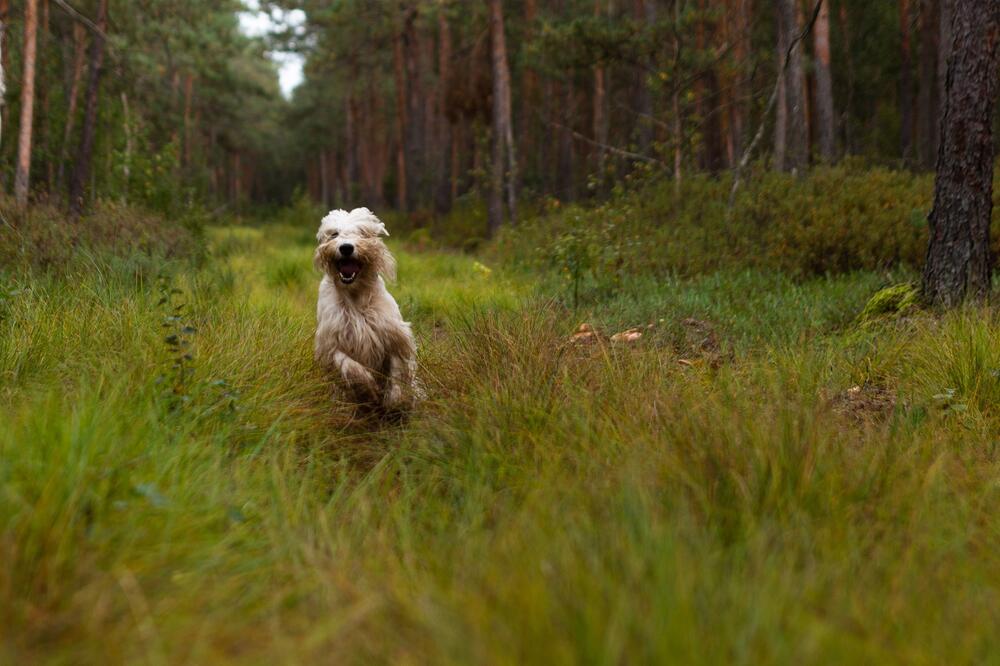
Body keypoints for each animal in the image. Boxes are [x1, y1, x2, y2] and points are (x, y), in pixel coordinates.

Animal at [314, 205, 420, 408]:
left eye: (362, 233)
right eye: (334, 234)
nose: (346, 247)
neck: (356, 295)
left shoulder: (392, 335)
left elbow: (397, 371)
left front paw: (394, 398)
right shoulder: (331, 341)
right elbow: (349, 365)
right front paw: (368, 388)